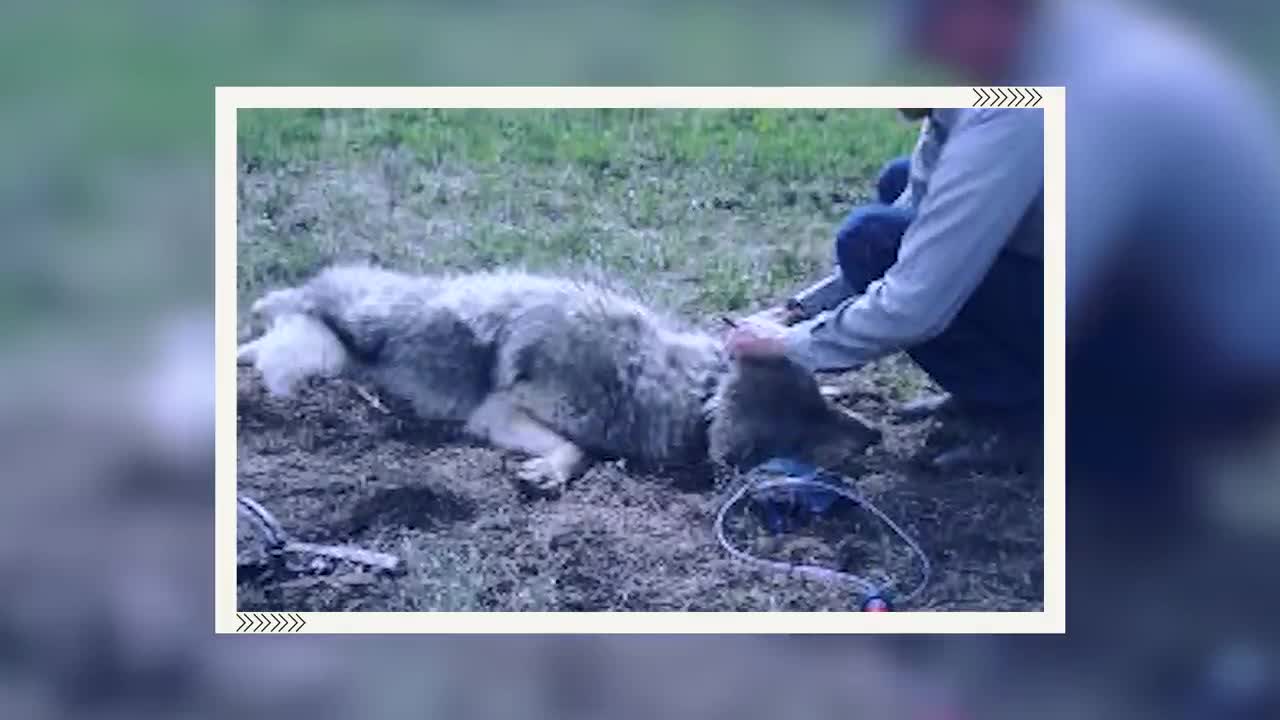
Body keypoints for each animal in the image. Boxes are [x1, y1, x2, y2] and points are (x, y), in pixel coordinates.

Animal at [238, 263, 880, 491]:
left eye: (819, 409)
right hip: (328, 344)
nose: (877, 437)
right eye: (803, 427)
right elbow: (581, 450)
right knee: (275, 322)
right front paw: (549, 472)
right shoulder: (499, 413)